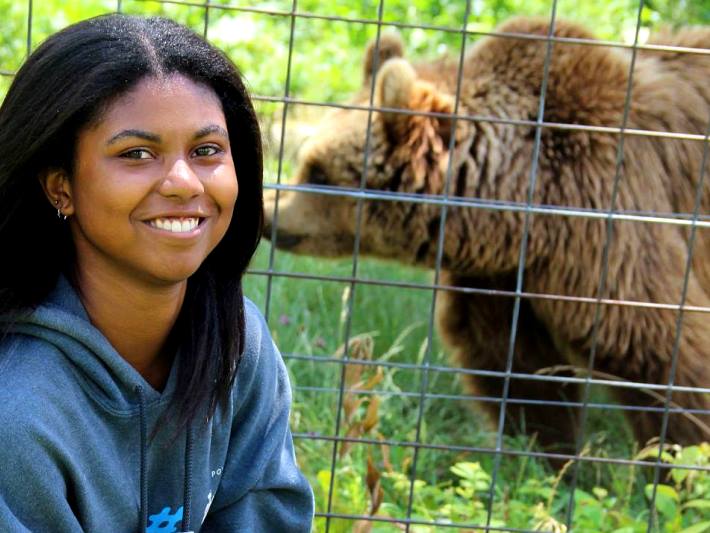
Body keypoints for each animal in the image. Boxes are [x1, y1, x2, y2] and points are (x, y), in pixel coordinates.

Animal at [264, 18, 710, 454]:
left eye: (318, 172)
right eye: (305, 161)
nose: (269, 213)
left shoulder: (605, 219)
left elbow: (655, 346)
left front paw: (677, 453)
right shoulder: (499, 279)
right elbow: (517, 367)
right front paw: (542, 449)